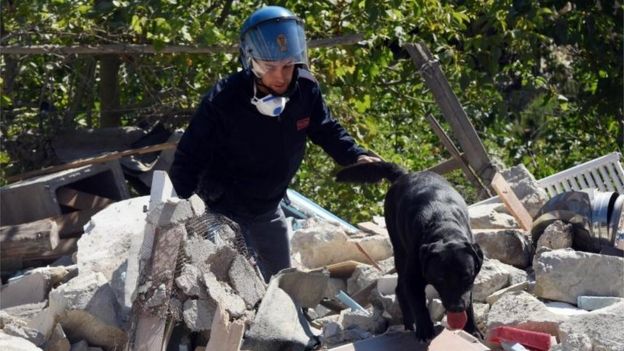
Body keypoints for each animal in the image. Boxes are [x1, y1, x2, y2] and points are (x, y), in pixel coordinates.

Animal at [338, 162, 486, 340]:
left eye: (466, 276)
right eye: (441, 278)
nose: (456, 307)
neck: (444, 226)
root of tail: (405, 174)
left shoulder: (469, 283)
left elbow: (469, 303)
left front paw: (472, 330)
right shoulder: (413, 278)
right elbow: (418, 305)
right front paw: (424, 330)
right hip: (400, 251)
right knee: (400, 289)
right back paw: (410, 325)